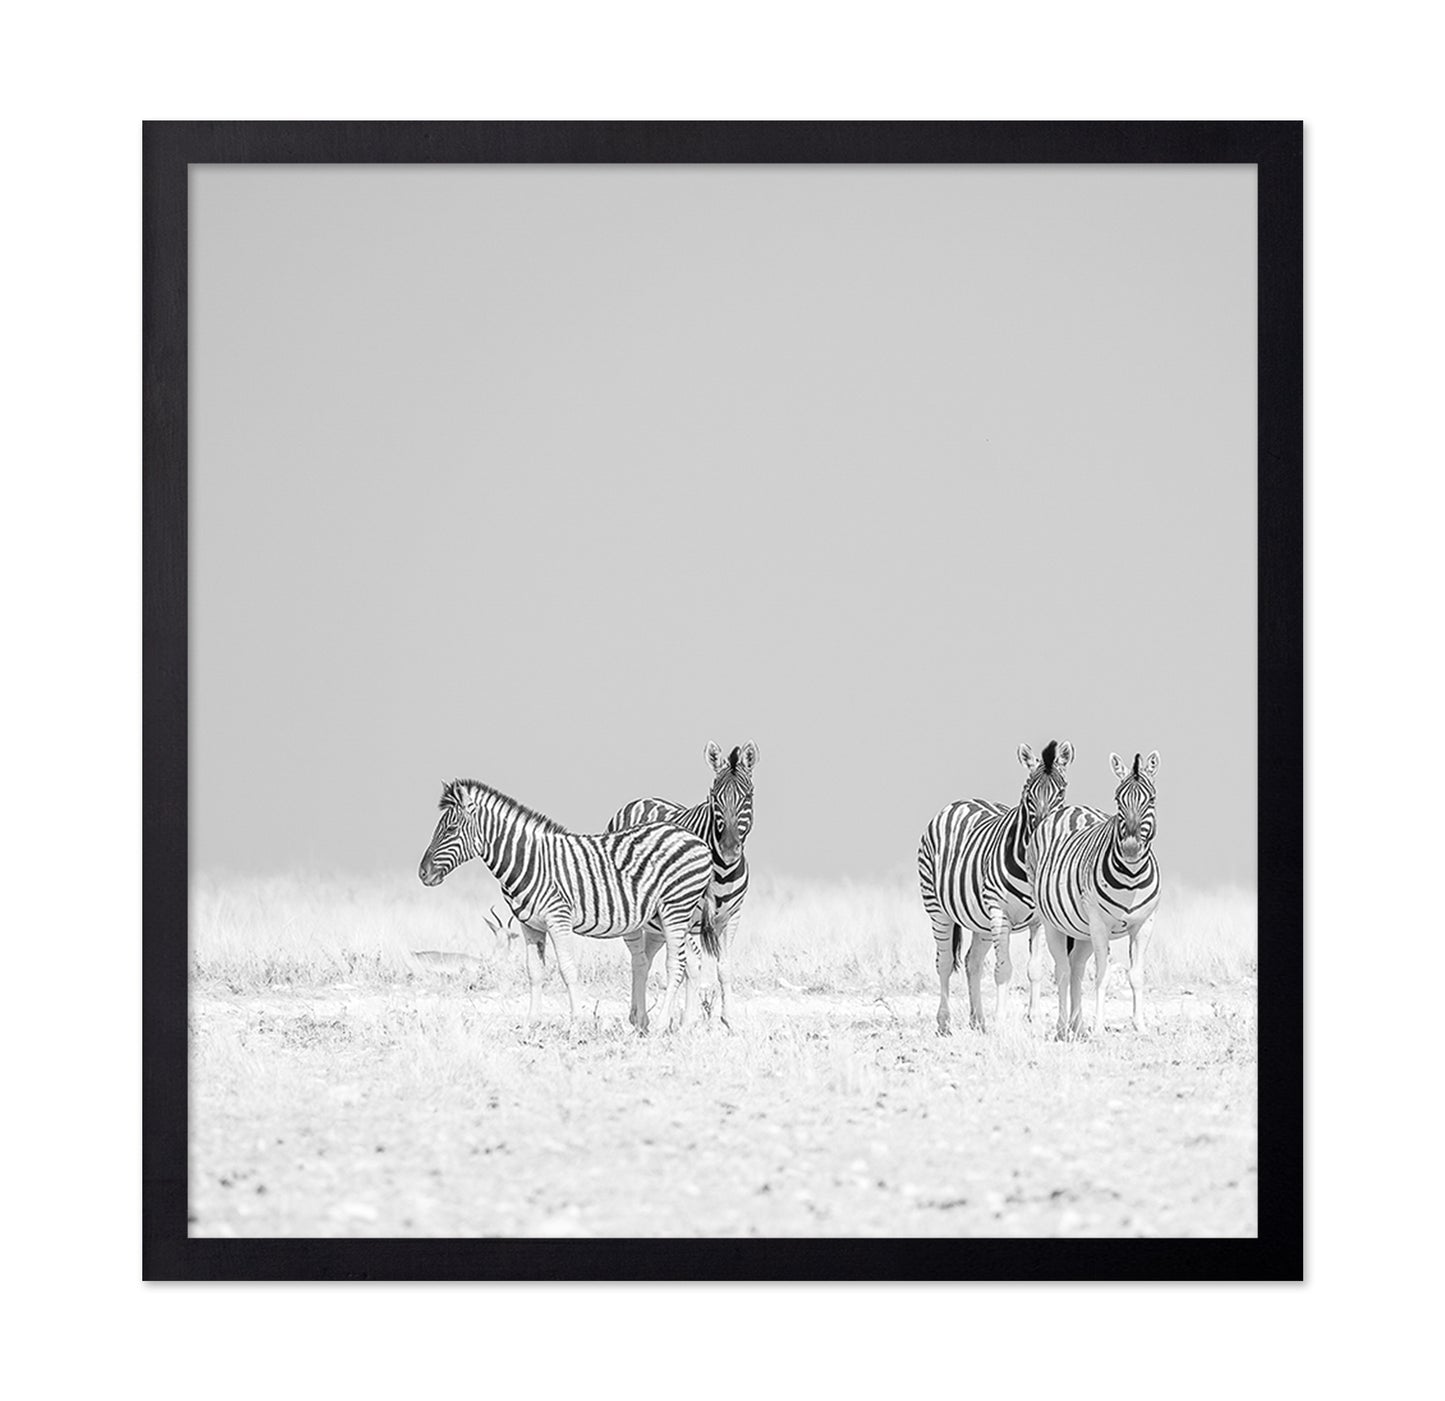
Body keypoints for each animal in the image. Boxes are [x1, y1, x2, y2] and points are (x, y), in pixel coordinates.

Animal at [417, 779, 714, 1032]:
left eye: (450, 829)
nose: (422, 873)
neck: (530, 861)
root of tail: (697, 839)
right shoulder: (529, 925)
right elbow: (535, 973)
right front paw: (530, 1023)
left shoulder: (558, 919)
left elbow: (567, 970)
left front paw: (575, 1024)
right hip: (674, 916)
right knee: (692, 962)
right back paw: (684, 1026)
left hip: (675, 908)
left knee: (676, 964)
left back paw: (662, 1026)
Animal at [606, 740, 757, 1031]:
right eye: (714, 797)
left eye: (748, 796)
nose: (729, 849)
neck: (722, 871)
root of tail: (641, 799)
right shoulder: (687, 917)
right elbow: (692, 967)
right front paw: (688, 1022)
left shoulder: (732, 917)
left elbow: (724, 967)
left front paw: (730, 1020)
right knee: (639, 958)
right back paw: (640, 1019)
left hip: (657, 923)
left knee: (647, 956)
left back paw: (639, 1017)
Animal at [918, 740, 1074, 1034]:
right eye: (1028, 792)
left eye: (1062, 791)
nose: (1041, 834)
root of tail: (962, 801)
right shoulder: (999, 912)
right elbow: (1003, 970)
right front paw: (1000, 1023)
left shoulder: (1040, 919)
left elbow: (1035, 969)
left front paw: (1034, 1018)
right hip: (938, 908)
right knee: (944, 963)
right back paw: (944, 1023)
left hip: (980, 920)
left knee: (972, 962)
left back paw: (978, 1020)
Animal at [1030, 751, 1162, 1038]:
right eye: (1117, 800)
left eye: (1151, 799)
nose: (1131, 848)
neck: (1132, 876)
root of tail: (1070, 808)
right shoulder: (1101, 925)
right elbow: (1103, 975)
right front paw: (1100, 1027)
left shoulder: (1144, 924)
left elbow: (1136, 975)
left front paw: (1140, 1025)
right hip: (1053, 922)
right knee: (1063, 969)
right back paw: (1063, 1027)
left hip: (1083, 931)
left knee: (1076, 968)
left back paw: (1078, 1026)